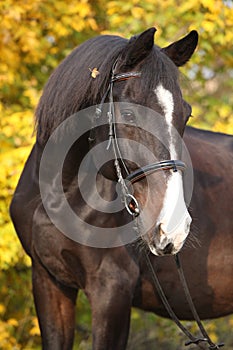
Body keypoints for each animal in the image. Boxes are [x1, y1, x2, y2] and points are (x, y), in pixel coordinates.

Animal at [9, 28, 233, 350]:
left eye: (186, 115)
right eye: (128, 114)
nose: (174, 227)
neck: (58, 195)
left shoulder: (111, 291)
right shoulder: (48, 281)